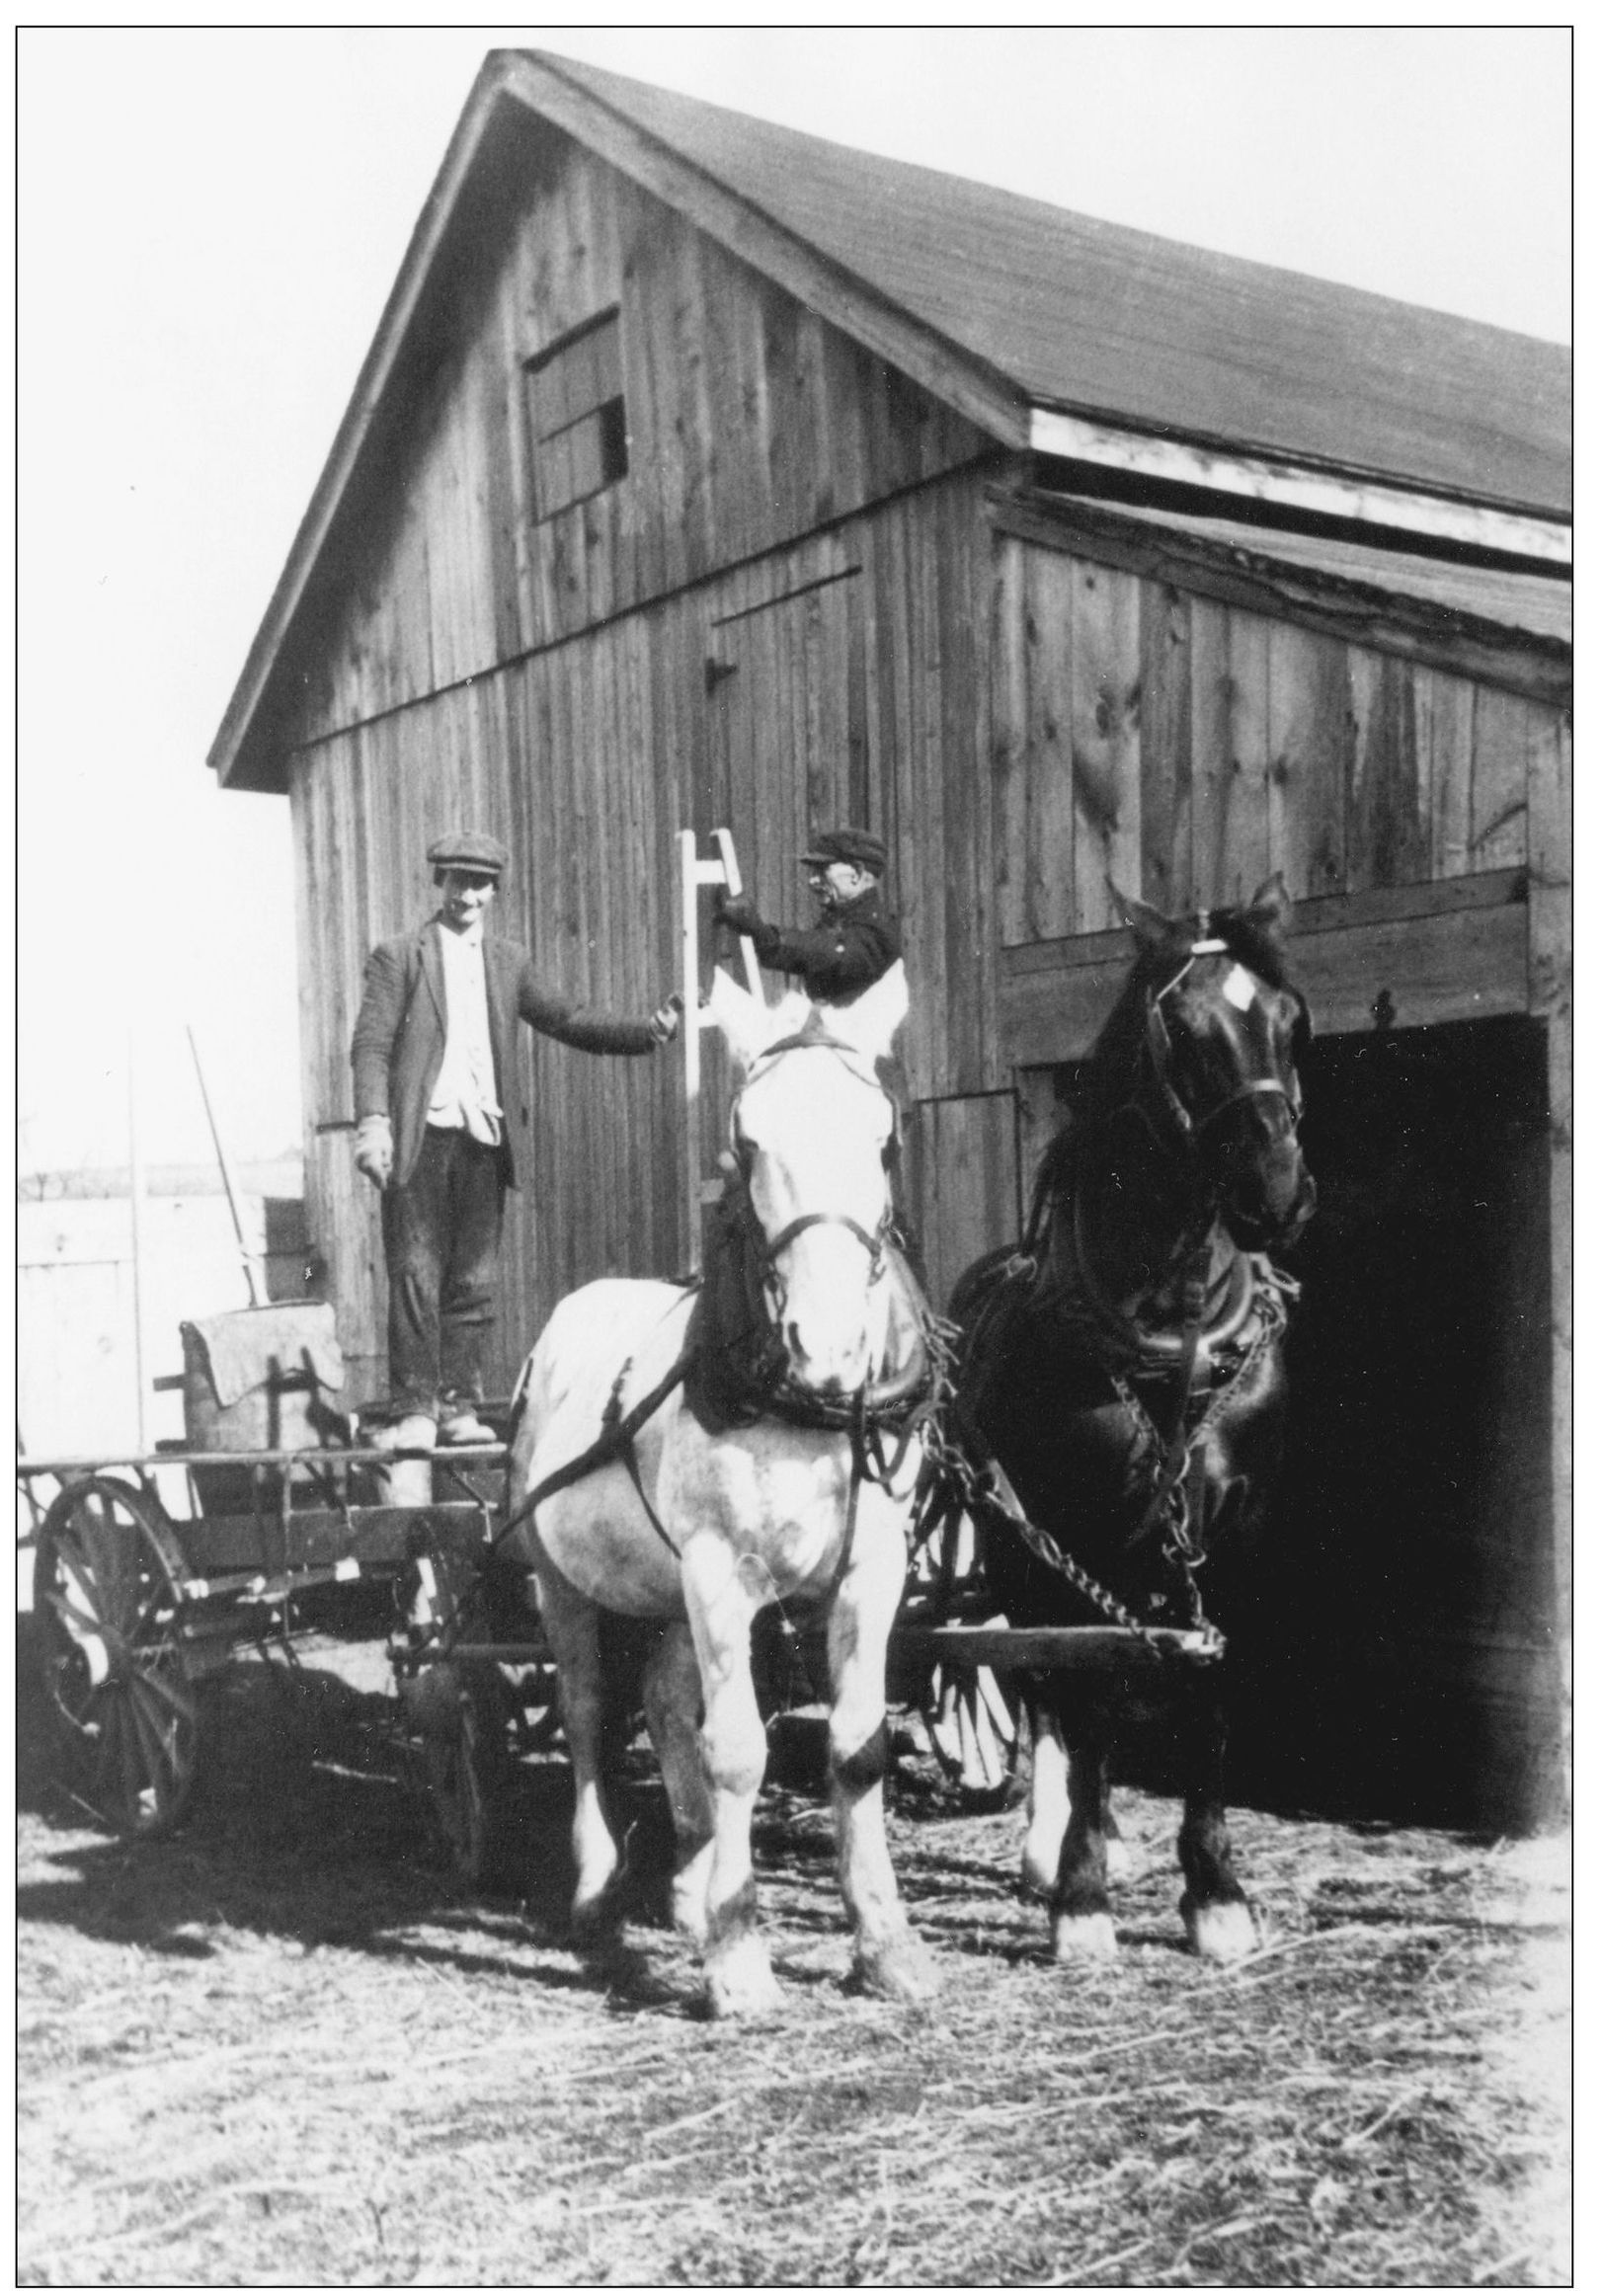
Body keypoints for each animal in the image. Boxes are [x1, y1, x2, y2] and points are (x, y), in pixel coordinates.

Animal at [509, 959, 936, 2020]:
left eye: (884, 1138)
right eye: (746, 1142)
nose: (829, 1347)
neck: (810, 1407)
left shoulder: (875, 1567)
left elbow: (858, 1745)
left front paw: (884, 1942)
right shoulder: (719, 1573)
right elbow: (737, 1747)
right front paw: (738, 1955)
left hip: (662, 1593)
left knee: (664, 1707)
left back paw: (693, 1880)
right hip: (560, 1581)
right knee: (589, 1710)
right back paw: (599, 1886)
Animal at [950, 886, 1313, 1965]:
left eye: (1290, 1021)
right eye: (1182, 1031)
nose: (1277, 1193)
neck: (1175, 1337)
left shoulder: (1236, 1532)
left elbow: (1207, 1697)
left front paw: (1216, 1890)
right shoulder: (1079, 1532)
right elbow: (1091, 1702)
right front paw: (1079, 1897)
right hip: (1016, 1552)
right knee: (1044, 1684)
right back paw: (1055, 1842)